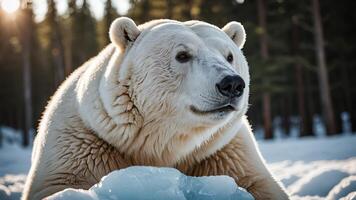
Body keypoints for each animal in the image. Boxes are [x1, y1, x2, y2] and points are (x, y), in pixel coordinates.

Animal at [22, 17, 290, 200]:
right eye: (182, 55)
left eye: (229, 56)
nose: (232, 84)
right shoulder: (83, 144)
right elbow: (59, 184)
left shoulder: (222, 150)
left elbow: (260, 184)